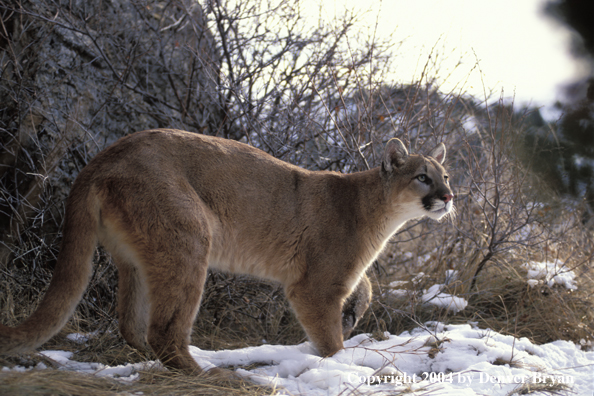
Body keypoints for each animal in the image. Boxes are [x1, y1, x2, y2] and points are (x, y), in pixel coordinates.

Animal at [1, 130, 454, 374]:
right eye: (422, 177)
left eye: (445, 176)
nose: (450, 197)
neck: (376, 209)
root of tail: (102, 157)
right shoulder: (315, 287)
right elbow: (330, 339)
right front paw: (338, 363)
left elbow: (366, 287)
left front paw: (357, 310)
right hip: (188, 239)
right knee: (163, 329)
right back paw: (209, 375)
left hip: (136, 258)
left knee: (130, 323)